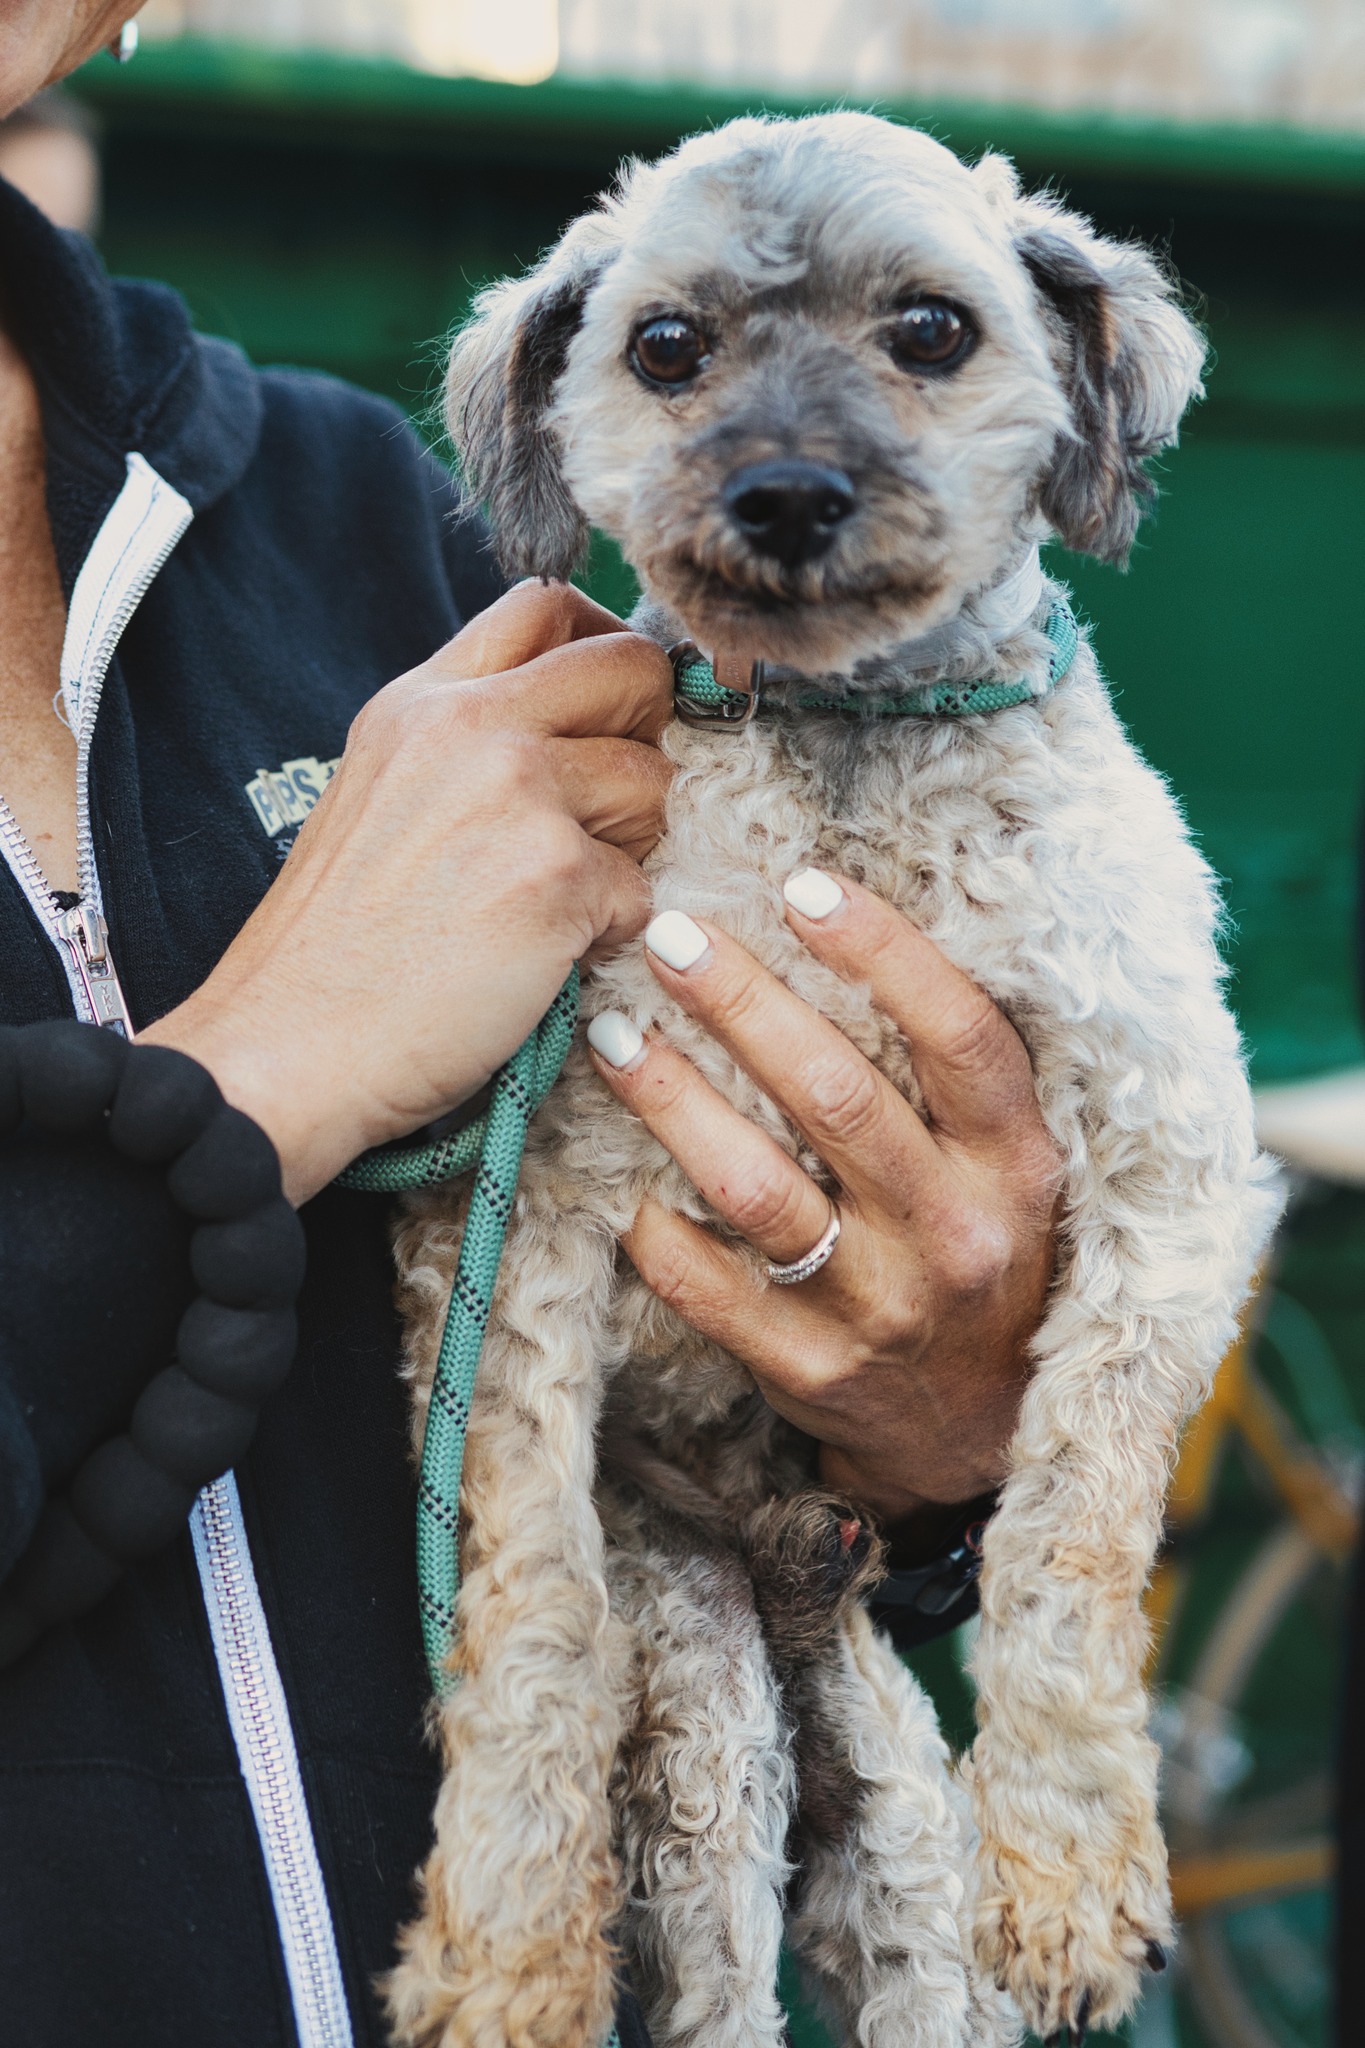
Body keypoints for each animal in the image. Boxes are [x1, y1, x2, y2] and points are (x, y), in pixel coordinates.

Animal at [382, 108, 1285, 2048]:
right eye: (665, 347)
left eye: (933, 329)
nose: (786, 491)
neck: (846, 743)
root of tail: (785, 1585)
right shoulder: (517, 1239)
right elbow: (529, 1612)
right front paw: (504, 1947)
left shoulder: (1166, 1173)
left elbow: (1073, 1530)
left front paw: (1070, 1867)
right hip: (717, 1751)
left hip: (902, 1877)